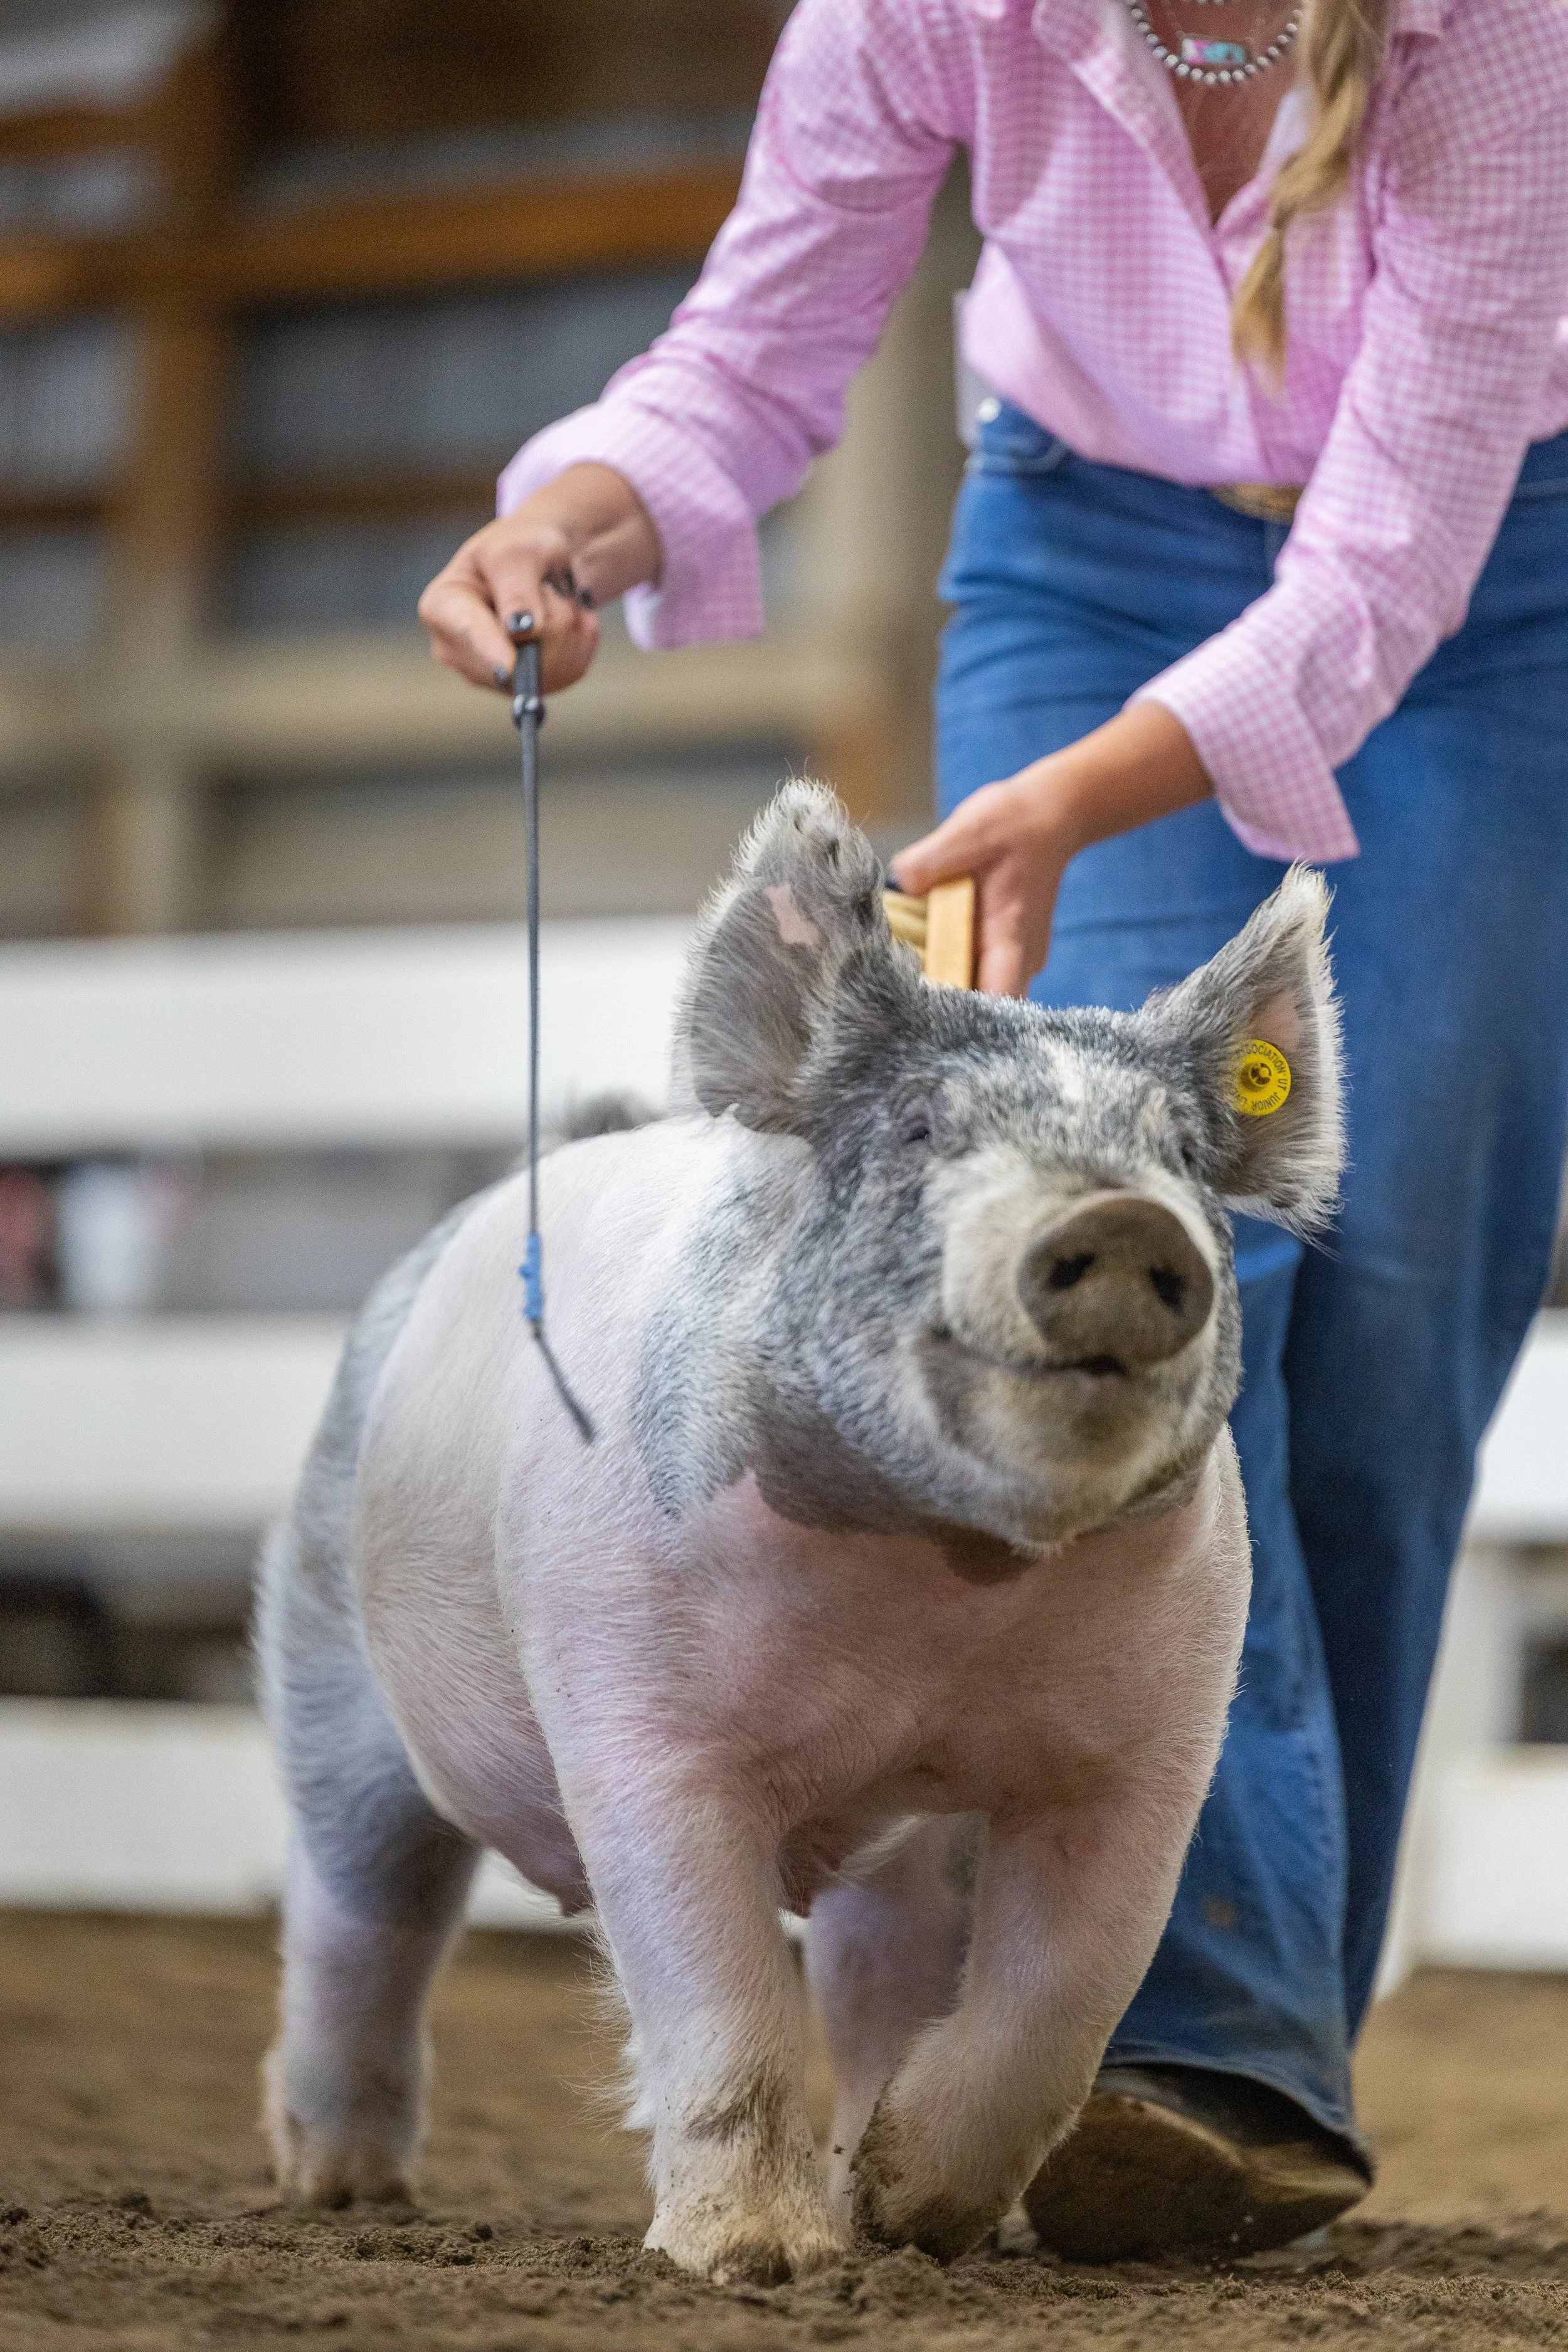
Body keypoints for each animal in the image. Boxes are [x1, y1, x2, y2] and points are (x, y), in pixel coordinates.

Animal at [257, 782, 1343, 2285]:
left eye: (1179, 1156)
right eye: (921, 1126)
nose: (1125, 1222)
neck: (946, 1601)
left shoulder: (1153, 1746)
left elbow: (1061, 1998)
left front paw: (908, 2216)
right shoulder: (637, 1722)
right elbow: (717, 1993)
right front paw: (758, 2263)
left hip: (902, 1858)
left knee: (878, 1971)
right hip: (327, 1658)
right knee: (356, 1911)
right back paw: (343, 2191)